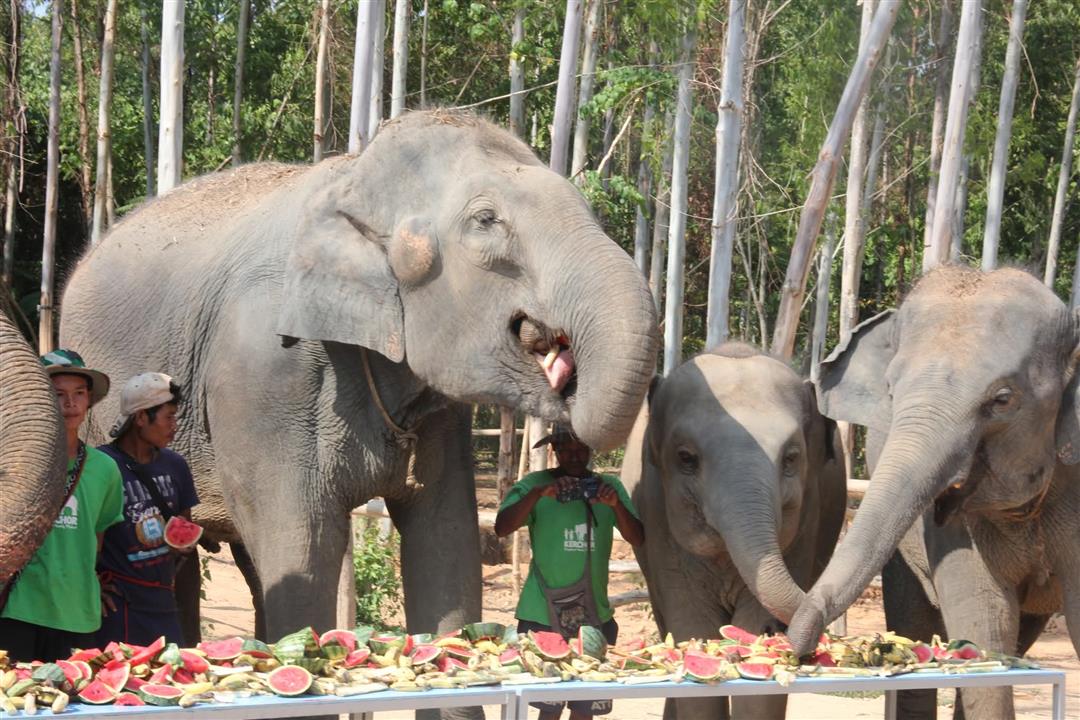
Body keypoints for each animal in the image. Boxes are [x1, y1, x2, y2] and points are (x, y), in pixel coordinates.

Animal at [58, 110, 659, 647]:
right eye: (486, 221)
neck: (353, 175)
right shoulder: (262, 373)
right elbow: (303, 548)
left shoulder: (439, 415)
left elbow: (445, 541)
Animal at [621, 343, 845, 720]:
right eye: (686, 458)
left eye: (790, 458)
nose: (781, 631)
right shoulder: (658, 518)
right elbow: (692, 627)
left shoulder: (807, 521)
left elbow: (752, 631)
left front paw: (758, 640)